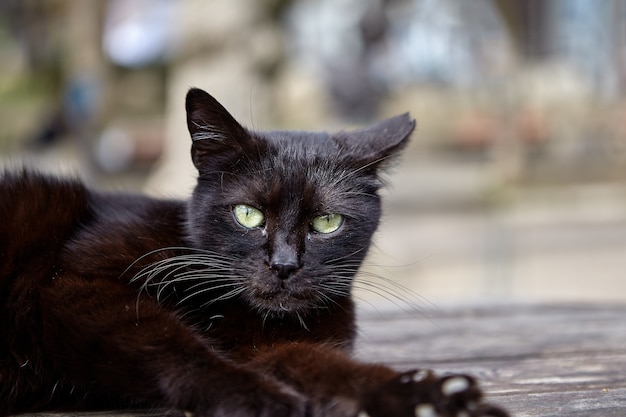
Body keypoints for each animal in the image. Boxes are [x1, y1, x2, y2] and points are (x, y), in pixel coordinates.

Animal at [0, 88, 504, 416]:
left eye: (326, 223)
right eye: (248, 214)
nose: (283, 264)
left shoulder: (272, 349)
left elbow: (324, 366)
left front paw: (429, 397)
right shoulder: (74, 284)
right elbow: (171, 345)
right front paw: (260, 399)